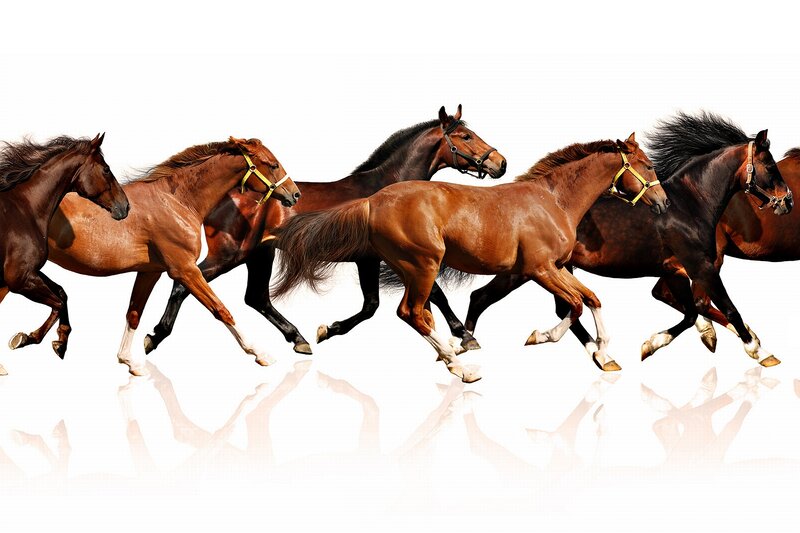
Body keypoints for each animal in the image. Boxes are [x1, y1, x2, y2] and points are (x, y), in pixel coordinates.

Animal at [0, 134, 129, 376]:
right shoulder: (19, 279)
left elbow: (62, 293)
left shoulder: (25, 276)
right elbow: (58, 303)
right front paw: (29, 339)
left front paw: (57, 342)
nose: (125, 207)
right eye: (106, 169)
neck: (24, 210)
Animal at [37, 137, 300, 375]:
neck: (178, 202)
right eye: (273, 164)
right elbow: (221, 309)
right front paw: (261, 353)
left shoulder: (150, 272)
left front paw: (129, 361)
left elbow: (134, 313)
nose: (295, 194)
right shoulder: (185, 269)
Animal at [142, 105, 507, 356]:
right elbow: (423, 297)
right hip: (232, 254)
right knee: (185, 285)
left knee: (255, 297)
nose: (500, 163)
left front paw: (326, 330)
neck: (385, 189)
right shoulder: (385, 259)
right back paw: (153, 337)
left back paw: (299, 339)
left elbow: (377, 304)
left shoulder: (374, 260)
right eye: (465, 137)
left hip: (259, 254)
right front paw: (465, 336)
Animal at [272, 133, 668, 382]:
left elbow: (592, 299)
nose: (663, 203)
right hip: (422, 265)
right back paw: (461, 368)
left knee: (419, 313)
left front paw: (605, 356)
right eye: (647, 166)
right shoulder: (539, 269)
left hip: (411, 268)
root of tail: (372, 201)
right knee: (411, 313)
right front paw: (539, 337)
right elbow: (574, 306)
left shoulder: (556, 268)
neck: (553, 201)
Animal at [462, 112, 792, 367]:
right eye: (771, 166)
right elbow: (727, 307)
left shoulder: (675, 272)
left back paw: (600, 356)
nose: (787, 201)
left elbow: (690, 313)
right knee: (481, 297)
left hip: (557, 269)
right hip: (525, 271)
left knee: (562, 307)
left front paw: (651, 344)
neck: (689, 205)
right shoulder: (701, 267)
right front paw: (760, 351)